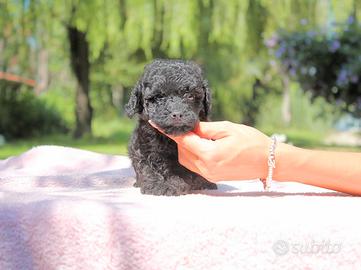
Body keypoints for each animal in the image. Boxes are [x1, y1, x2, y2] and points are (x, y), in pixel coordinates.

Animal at [126, 59, 217, 195]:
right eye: (159, 97)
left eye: (190, 96)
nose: (177, 114)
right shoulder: (143, 149)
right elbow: (149, 168)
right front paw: (159, 186)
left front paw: (202, 182)